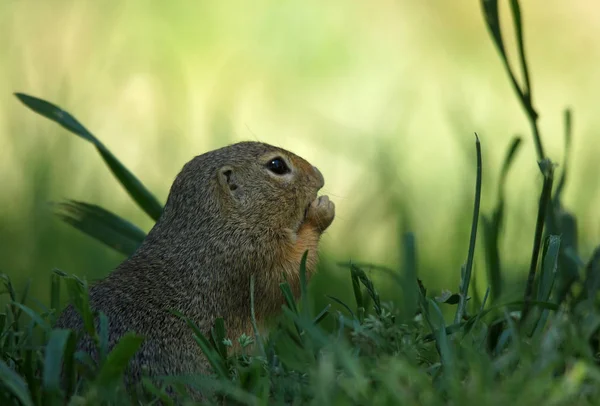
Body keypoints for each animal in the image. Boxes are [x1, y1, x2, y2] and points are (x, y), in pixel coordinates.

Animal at [54, 143, 336, 384]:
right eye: (277, 165)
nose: (320, 175)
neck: (216, 225)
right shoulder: (249, 260)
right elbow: (289, 274)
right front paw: (322, 211)